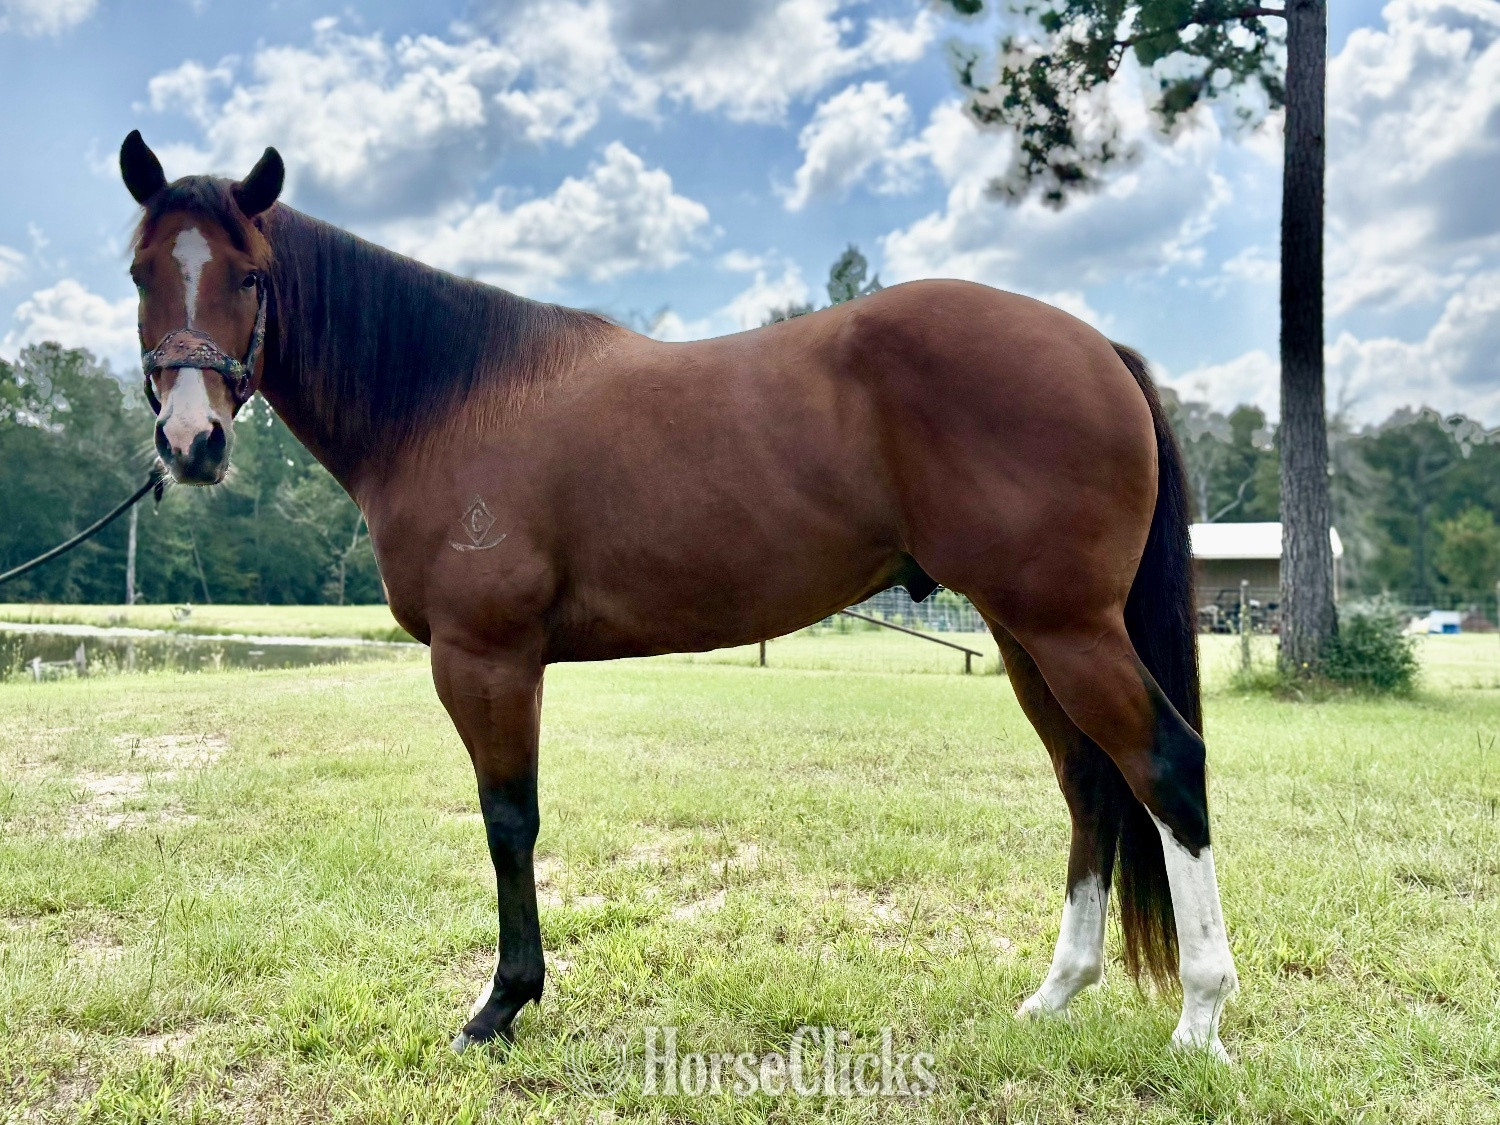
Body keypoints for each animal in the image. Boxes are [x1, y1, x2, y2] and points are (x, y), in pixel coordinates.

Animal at [118, 130, 1238, 1059]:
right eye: (140, 272)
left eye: (252, 276)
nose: (191, 441)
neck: (449, 399)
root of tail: (1096, 349)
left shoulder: (486, 657)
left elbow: (508, 819)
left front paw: (501, 1005)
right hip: (1021, 632)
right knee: (1091, 784)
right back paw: (1057, 993)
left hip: (1067, 629)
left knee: (1165, 766)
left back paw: (1200, 1017)